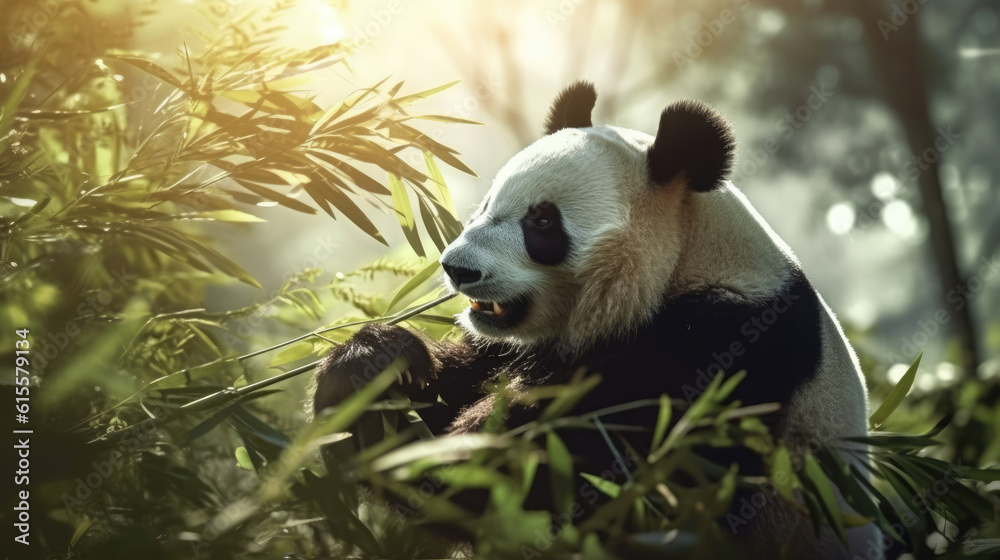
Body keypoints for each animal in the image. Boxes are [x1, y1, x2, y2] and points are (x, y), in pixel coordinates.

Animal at [313, 81, 878, 559]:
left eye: (542, 222)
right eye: (488, 204)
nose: (457, 268)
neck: (689, 257)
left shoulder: (719, 357)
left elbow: (530, 470)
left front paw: (412, 448)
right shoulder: (522, 345)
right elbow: (465, 377)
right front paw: (371, 366)